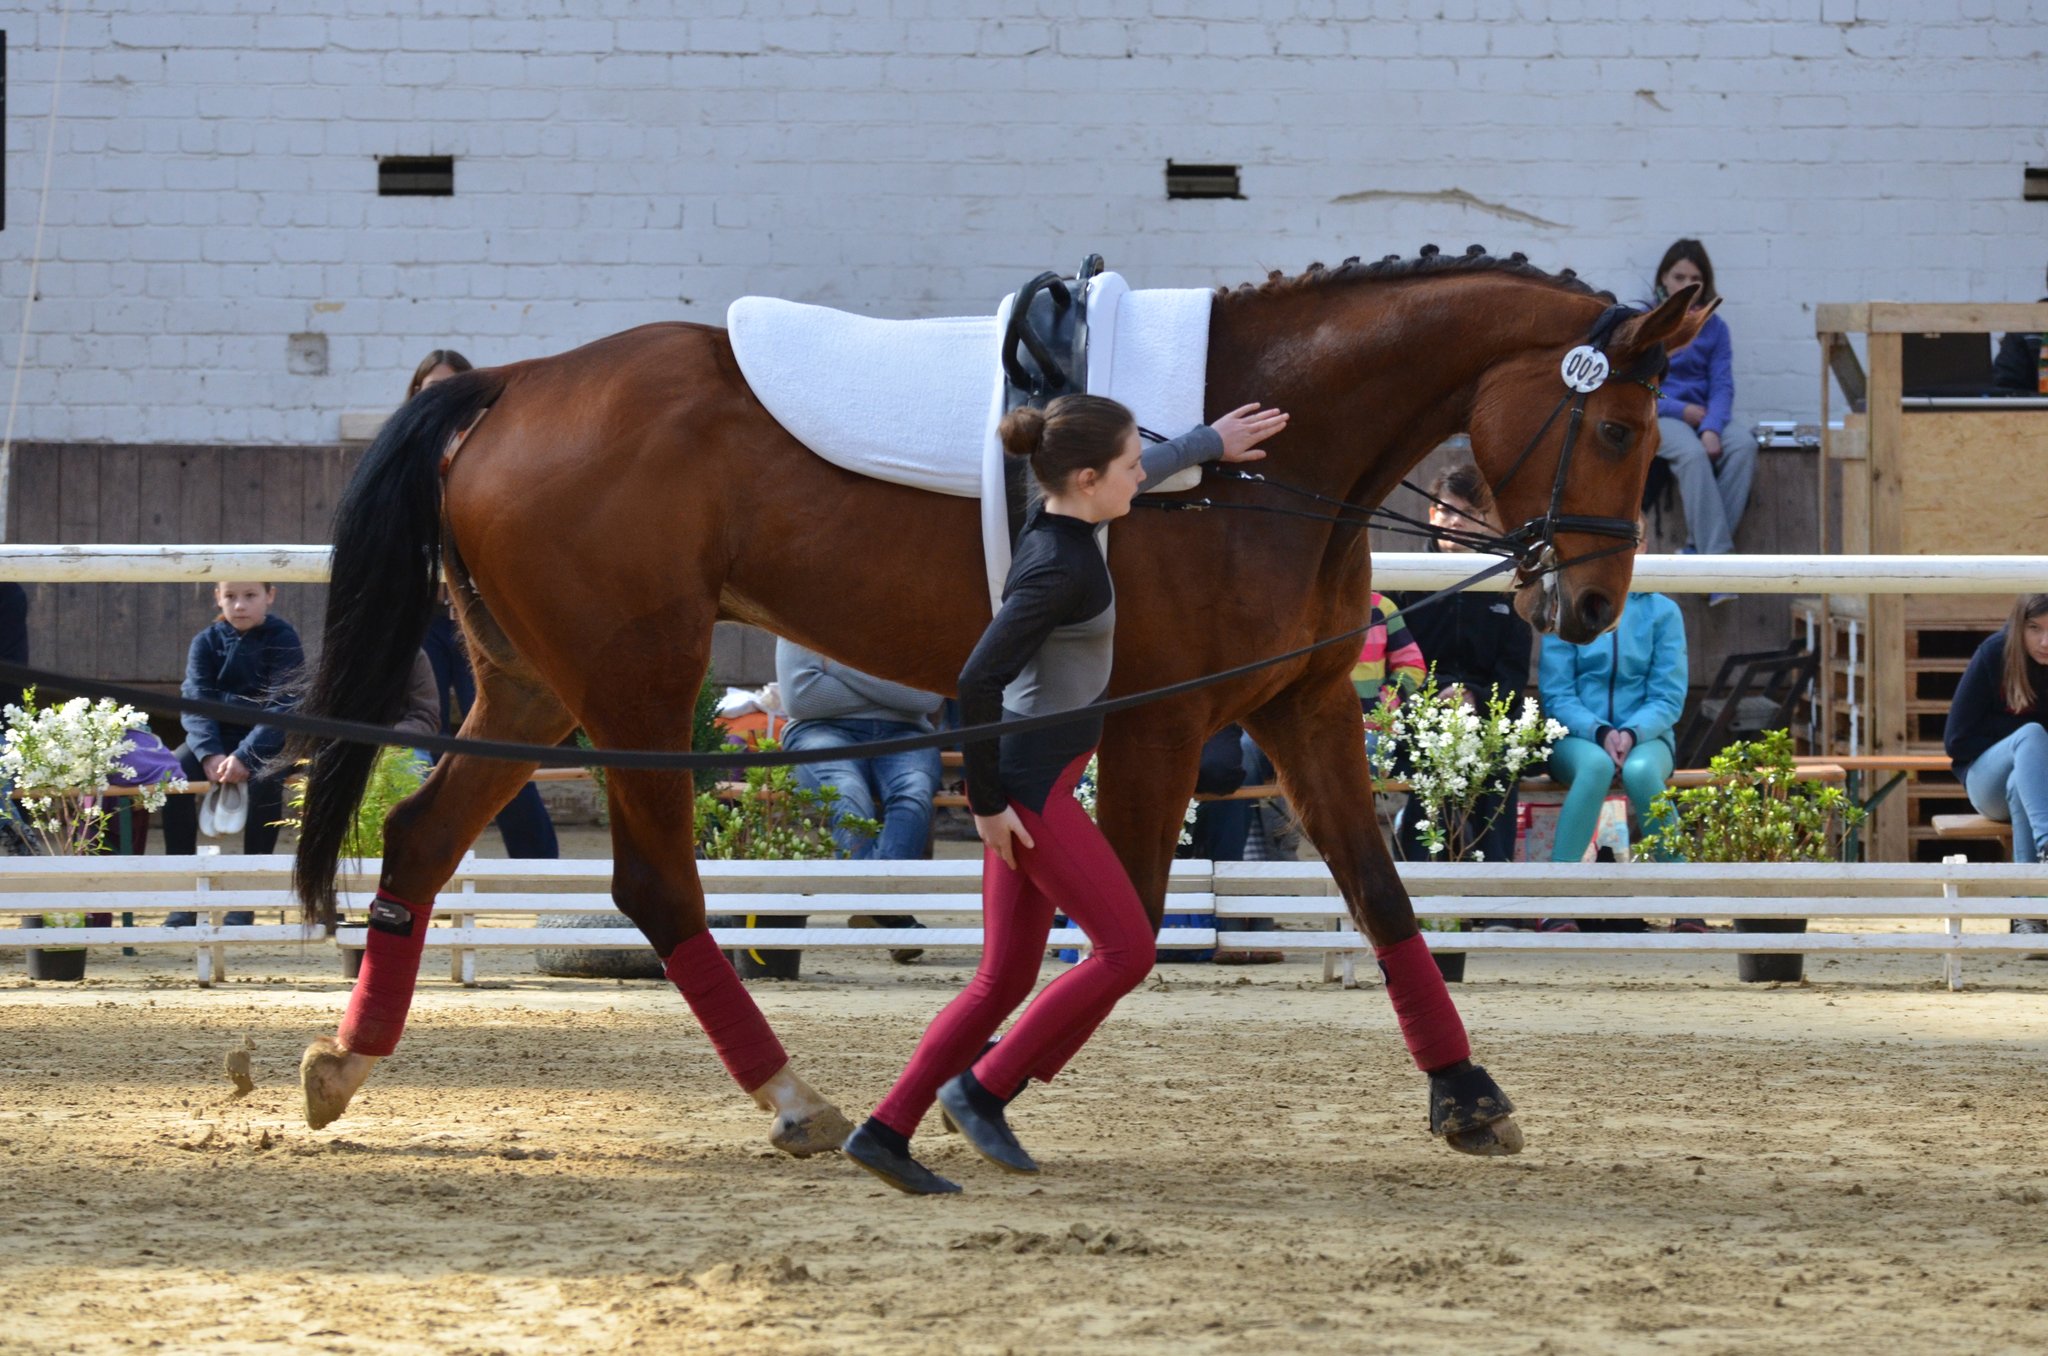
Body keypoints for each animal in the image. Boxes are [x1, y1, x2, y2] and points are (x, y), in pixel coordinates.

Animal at [290, 246, 1709, 1159]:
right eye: (1619, 432)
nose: (1588, 607)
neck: (1262, 462)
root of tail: (510, 382)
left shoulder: (1301, 704)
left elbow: (1380, 895)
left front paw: (1464, 1092)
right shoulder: (1158, 723)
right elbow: (1128, 922)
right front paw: (978, 1096)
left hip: (536, 684)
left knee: (419, 836)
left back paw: (345, 1061)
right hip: (638, 683)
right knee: (656, 891)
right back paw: (792, 1099)